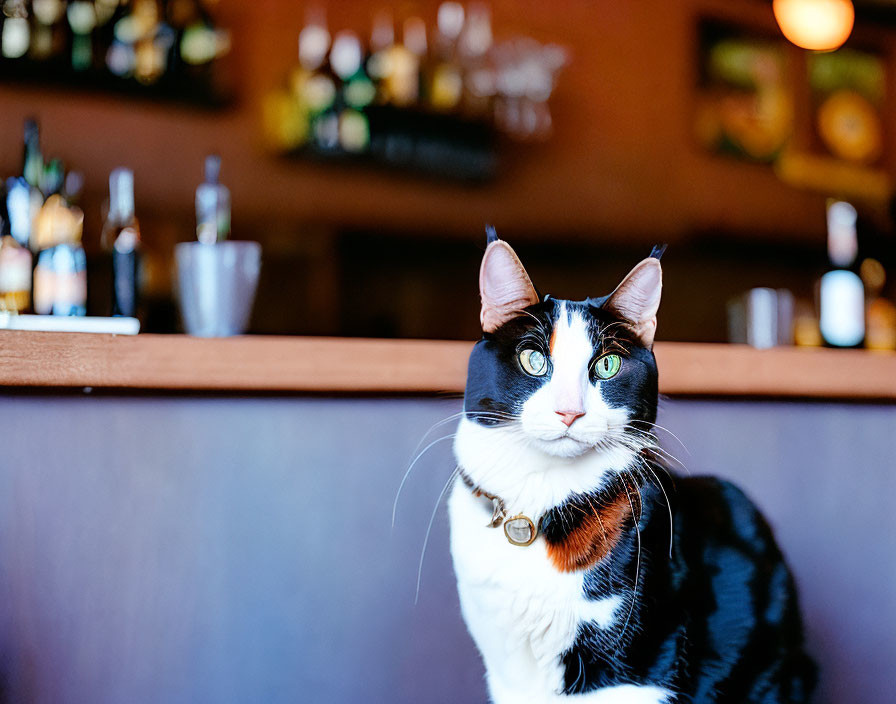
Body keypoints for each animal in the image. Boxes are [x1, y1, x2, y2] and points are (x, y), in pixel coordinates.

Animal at [444, 228, 816, 700]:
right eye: (534, 360)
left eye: (607, 364)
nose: (570, 411)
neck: (542, 501)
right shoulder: (507, 673)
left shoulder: (640, 661)